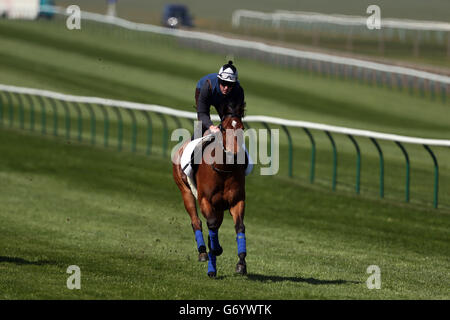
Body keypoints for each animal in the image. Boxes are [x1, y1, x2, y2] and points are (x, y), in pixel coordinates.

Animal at [173, 104, 250, 278]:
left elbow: (239, 227)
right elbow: (212, 225)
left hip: (219, 206)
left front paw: (241, 264)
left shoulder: (236, 201)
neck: (224, 169)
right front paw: (215, 251)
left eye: (241, 128)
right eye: (224, 129)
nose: (235, 154)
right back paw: (203, 252)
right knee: (196, 221)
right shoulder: (205, 200)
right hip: (185, 191)